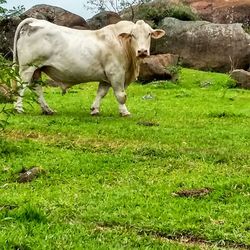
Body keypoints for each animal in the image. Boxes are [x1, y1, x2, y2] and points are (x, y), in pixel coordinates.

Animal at [14, 18, 166, 115]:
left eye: (149, 34)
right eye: (132, 35)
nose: (142, 51)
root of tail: (35, 21)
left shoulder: (106, 77)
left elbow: (101, 93)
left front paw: (94, 109)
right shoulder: (115, 73)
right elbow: (121, 95)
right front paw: (125, 112)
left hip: (37, 69)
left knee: (37, 89)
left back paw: (47, 110)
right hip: (27, 67)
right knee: (22, 86)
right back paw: (19, 109)